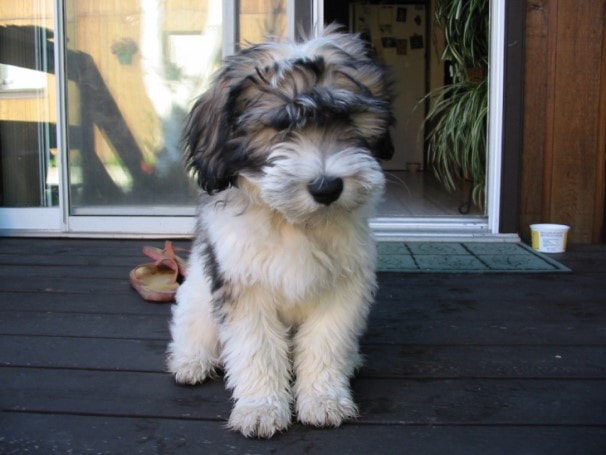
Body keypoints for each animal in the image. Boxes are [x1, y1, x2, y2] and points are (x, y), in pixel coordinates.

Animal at [167, 24, 394, 438]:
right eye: (280, 126)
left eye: (347, 119)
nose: (327, 187)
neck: (292, 221)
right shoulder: (244, 288)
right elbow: (256, 349)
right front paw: (261, 408)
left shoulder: (343, 286)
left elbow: (326, 342)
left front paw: (323, 398)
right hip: (197, 295)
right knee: (193, 327)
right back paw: (191, 361)